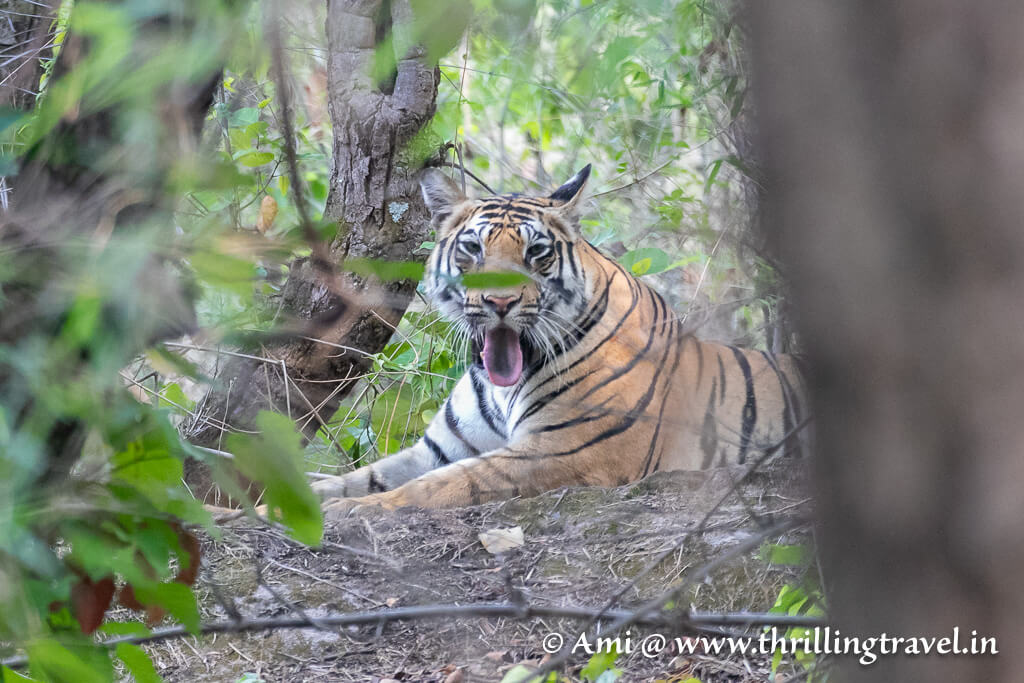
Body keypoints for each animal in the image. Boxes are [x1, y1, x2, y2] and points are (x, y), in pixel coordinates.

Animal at [312, 165, 807, 517]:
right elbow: (358, 476)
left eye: (536, 252)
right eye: (472, 248)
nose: (500, 301)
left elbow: (449, 483)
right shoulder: (438, 450)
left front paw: (353, 510)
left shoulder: (567, 449)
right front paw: (307, 499)